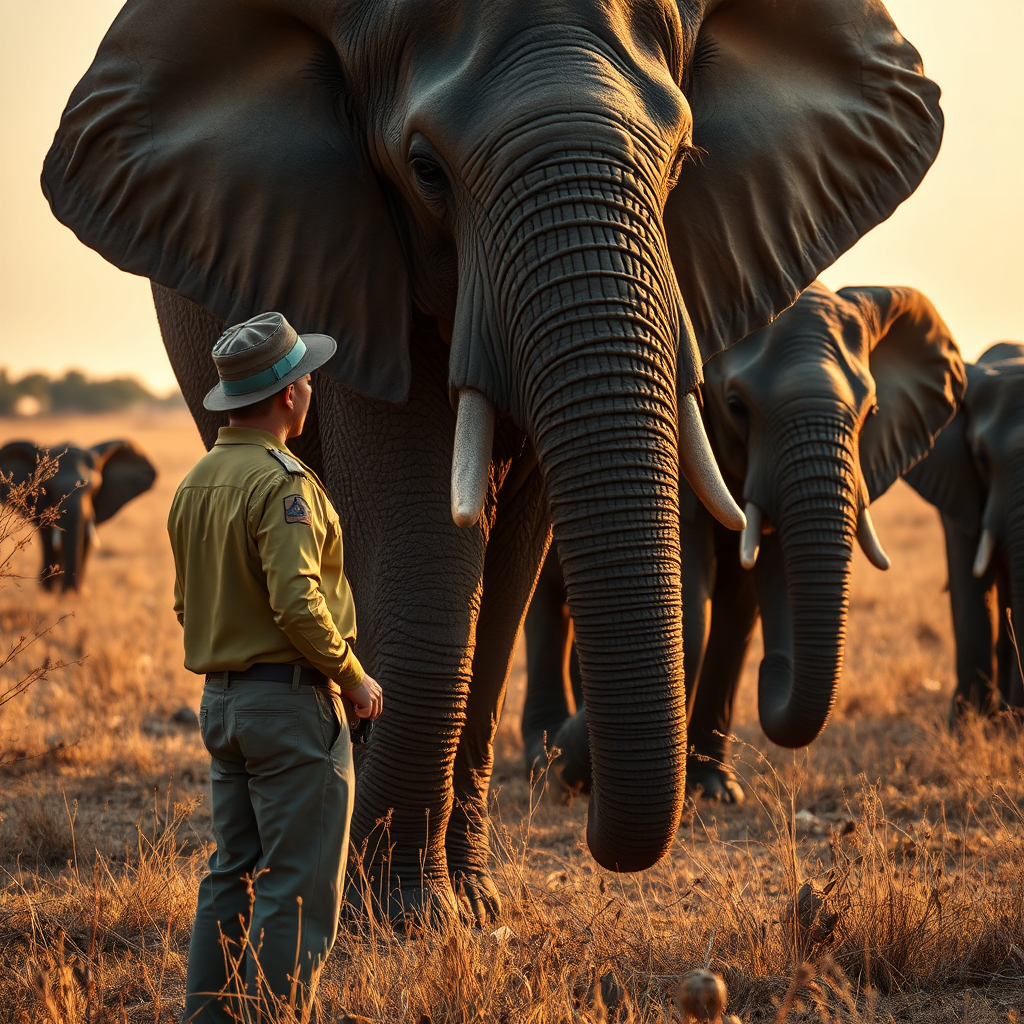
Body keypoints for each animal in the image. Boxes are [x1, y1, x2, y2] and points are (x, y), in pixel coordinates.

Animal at [0, 440, 157, 592]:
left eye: (95, 488)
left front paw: (78, 594)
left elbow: (86, 540)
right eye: (50, 487)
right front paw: (51, 591)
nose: (69, 591)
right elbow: (48, 537)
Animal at [529, 282, 965, 802]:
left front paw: (717, 791)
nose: (773, 671)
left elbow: (739, 614)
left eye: (872, 412)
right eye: (736, 406)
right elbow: (691, 615)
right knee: (544, 607)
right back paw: (542, 759)